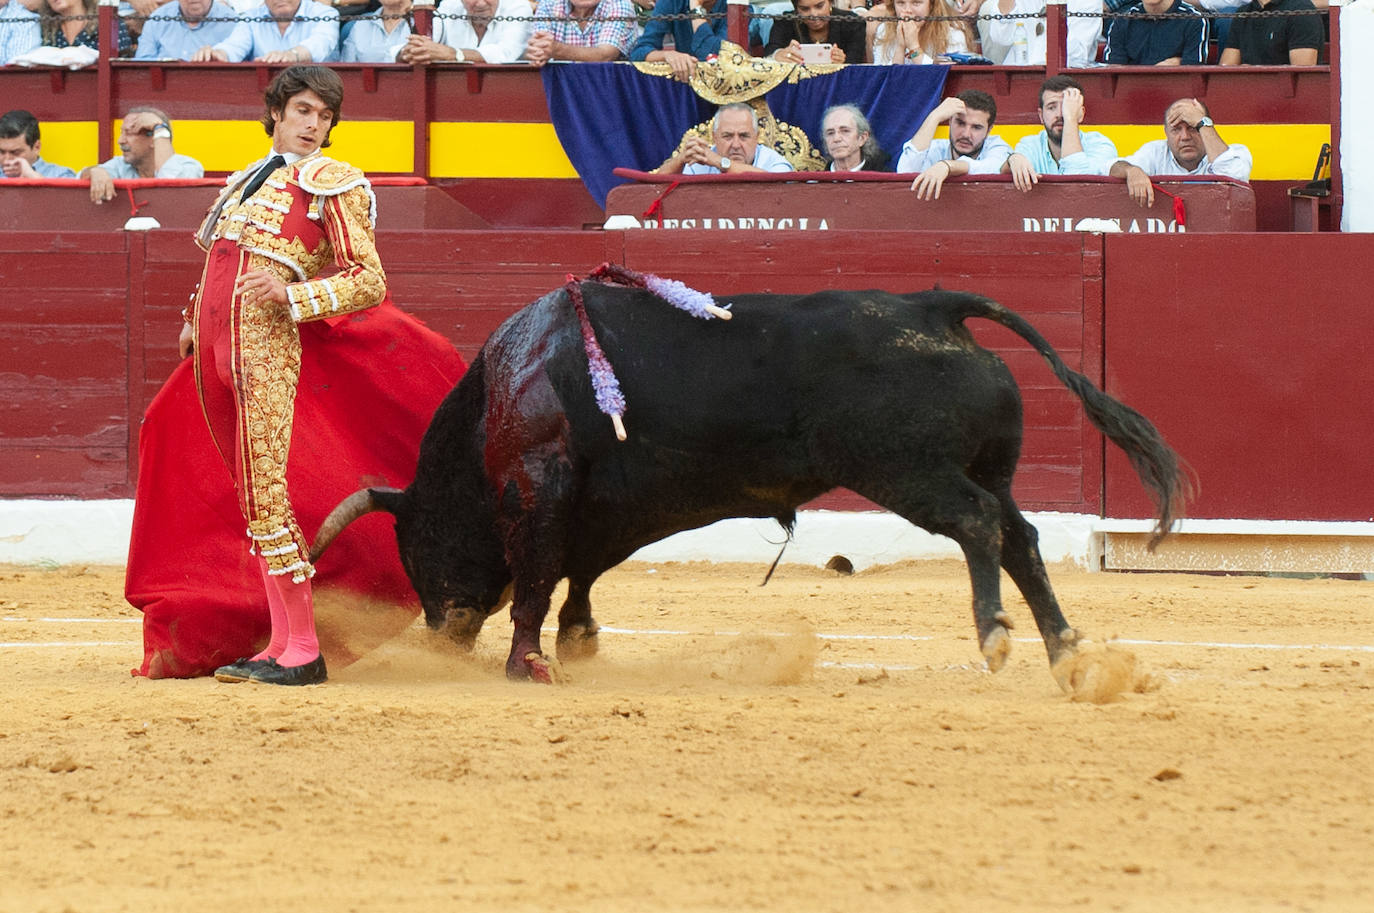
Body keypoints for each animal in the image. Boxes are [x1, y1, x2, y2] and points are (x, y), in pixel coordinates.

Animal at [316, 277, 1187, 684]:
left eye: (421, 546)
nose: (443, 635)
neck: (507, 385)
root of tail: (933, 307)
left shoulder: (543, 487)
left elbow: (538, 575)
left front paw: (529, 661)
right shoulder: (605, 506)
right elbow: (580, 571)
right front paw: (579, 640)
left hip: (908, 469)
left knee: (977, 524)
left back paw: (996, 635)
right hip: (989, 469)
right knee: (1021, 535)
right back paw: (1063, 646)